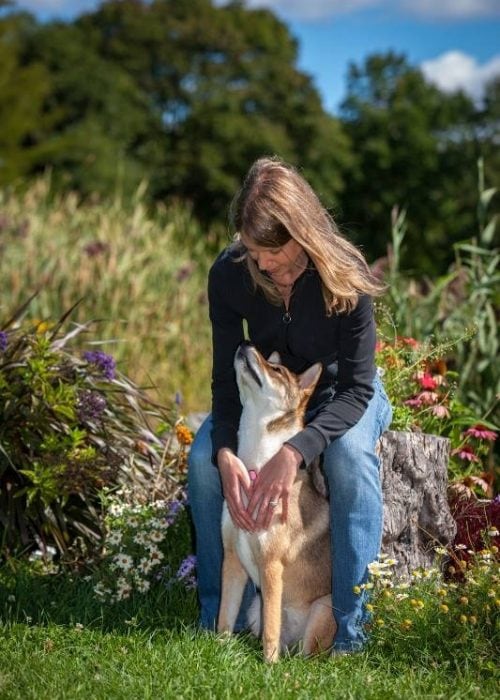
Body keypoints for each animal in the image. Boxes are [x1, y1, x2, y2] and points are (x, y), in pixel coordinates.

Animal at [217, 344, 334, 660]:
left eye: (277, 370)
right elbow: (224, 618)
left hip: (322, 609)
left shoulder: (271, 565)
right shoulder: (232, 559)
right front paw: (217, 650)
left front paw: (268, 665)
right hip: (253, 608)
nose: (244, 344)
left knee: (306, 657)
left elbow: (270, 632)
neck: (256, 468)